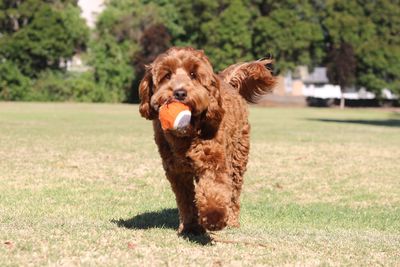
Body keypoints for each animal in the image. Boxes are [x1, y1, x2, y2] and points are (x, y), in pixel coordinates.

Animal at [138, 47, 276, 234]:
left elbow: (214, 188)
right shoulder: (177, 171)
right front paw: (189, 226)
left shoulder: (213, 160)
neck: (187, 134)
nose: (179, 93)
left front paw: (213, 217)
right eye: (167, 75)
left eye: (193, 74)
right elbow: (185, 200)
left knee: (234, 191)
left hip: (238, 155)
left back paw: (232, 220)